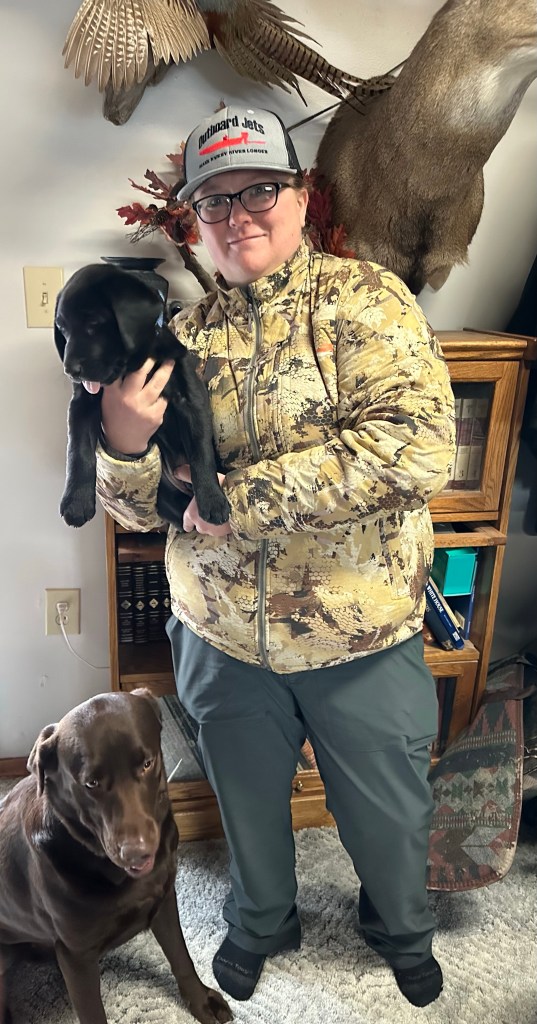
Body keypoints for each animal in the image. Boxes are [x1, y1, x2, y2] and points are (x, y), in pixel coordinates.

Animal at [0, 689, 232, 1024]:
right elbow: (93, 1012)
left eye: (147, 763)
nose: (138, 852)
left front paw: (201, 1001)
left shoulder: (162, 899)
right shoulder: (76, 956)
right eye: (91, 783)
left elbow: (181, 956)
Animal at [54, 264, 230, 530]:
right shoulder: (81, 404)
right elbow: (77, 449)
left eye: (93, 322)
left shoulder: (191, 398)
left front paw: (213, 499)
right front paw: (76, 502)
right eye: (63, 329)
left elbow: (201, 451)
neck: (131, 366)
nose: (70, 370)